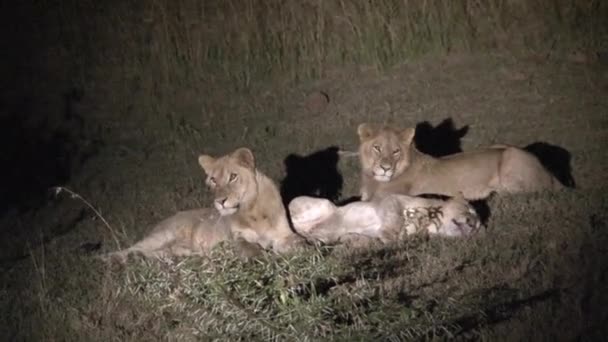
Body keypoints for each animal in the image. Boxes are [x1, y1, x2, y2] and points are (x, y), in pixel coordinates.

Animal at [104, 148, 306, 262]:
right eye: (213, 180)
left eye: (233, 176)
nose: (220, 202)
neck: (251, 209)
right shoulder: (237, 237)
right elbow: (249, 248)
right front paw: (260, 258)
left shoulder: (284, 234)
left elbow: (300, 242)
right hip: (163, 235)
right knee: (134, 248)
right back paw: (113, 258)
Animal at [288, 192, 482, 243]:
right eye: (468, 209)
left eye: (479, 225)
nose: (473, 224)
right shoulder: (392, 200)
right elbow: (394, 218)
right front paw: (389, 238)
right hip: (326, 204)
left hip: (327, 236)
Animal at [358, 123, 564, 202]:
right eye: (377, 148)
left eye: (396, 151)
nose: (385, 168)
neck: (373, 181)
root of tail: (551, 174)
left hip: (511, 157)